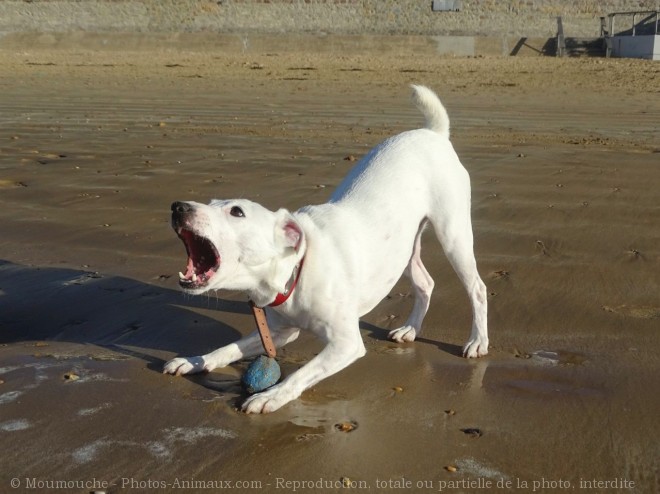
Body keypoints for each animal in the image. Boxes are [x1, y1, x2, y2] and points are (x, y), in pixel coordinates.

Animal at [162, 85, 488, 412]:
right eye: (211, 202)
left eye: (237, 212)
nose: (177, 207)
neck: (294, 271)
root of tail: (433, 133)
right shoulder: (279, 331)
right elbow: (229, 347)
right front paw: (194, 361)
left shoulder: (346, 343)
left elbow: (301, 374)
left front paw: (269, 396)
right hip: (403, 248)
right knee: (425, 282)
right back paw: (410, 329)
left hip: (453, 233)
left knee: (477, 287)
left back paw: (477, 342)